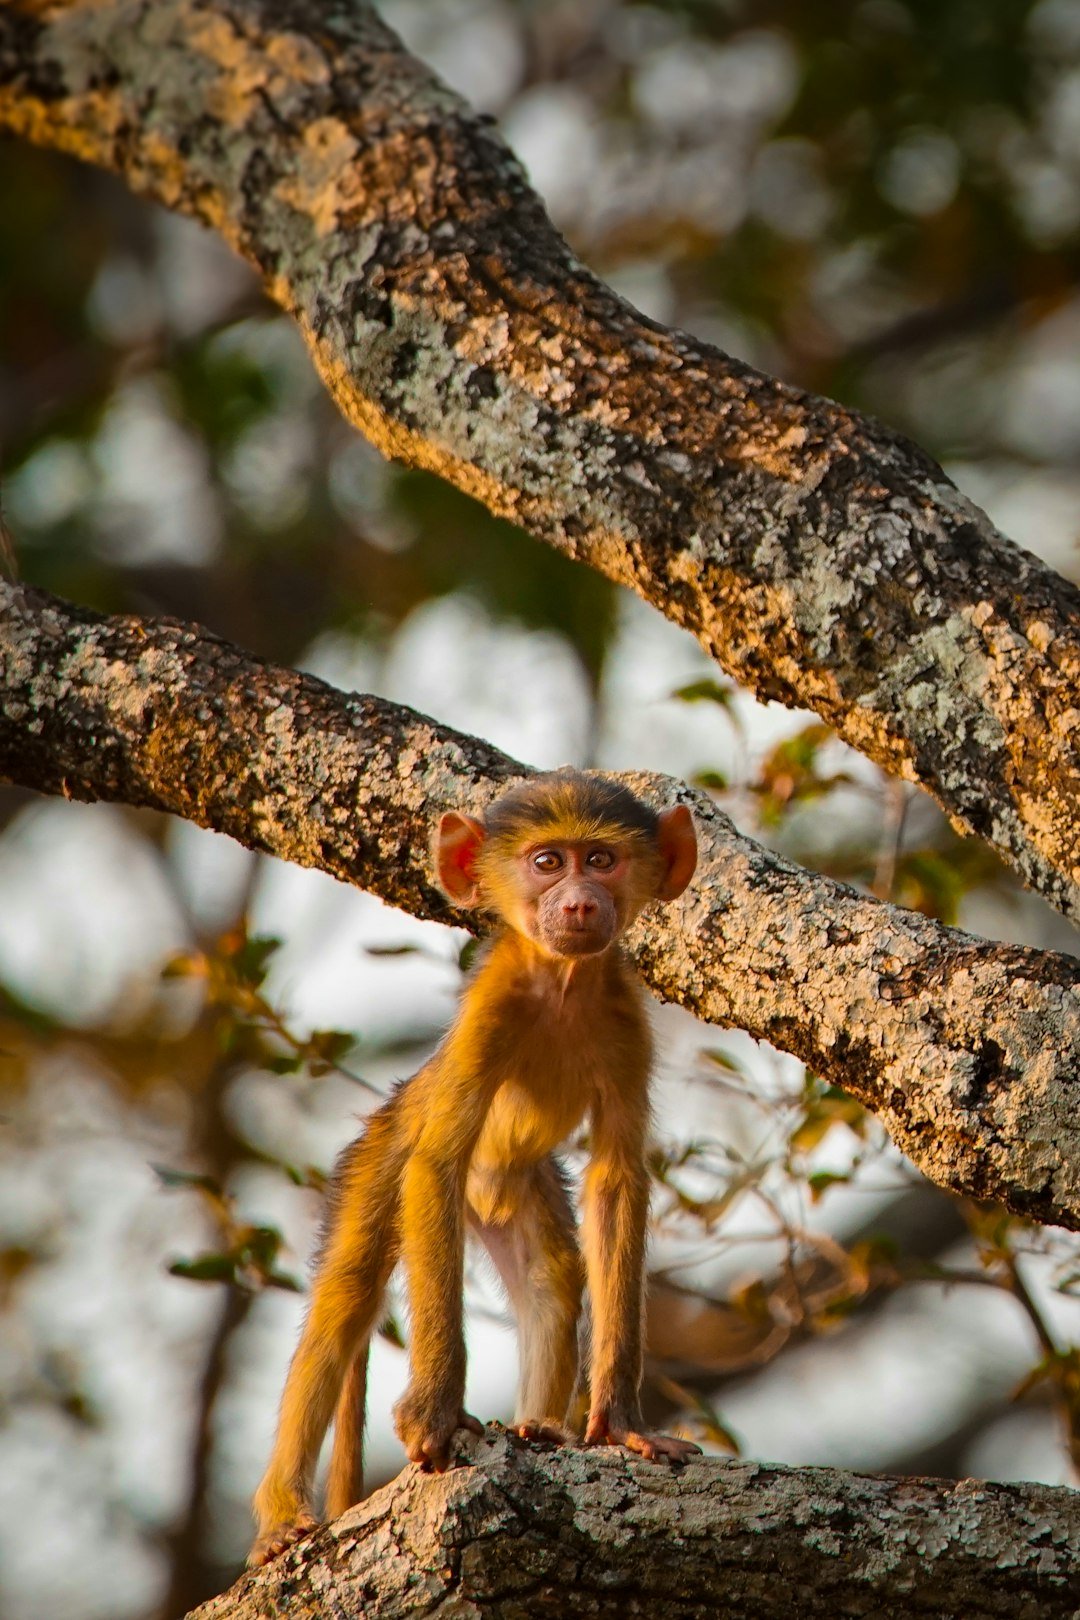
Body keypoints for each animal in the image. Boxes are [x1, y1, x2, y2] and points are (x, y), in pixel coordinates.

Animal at [248, 771, 701, 1567]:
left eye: (601, 860)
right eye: (548, 863)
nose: (579, 903)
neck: (563, 981)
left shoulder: (626, 1020)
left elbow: (616, 1182)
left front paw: (618, 1423)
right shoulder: (492, 1012)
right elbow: (439, 1159)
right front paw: (434, 1413)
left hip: (516, 1186)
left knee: (554, 1277)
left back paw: (537, 1426)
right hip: (381, 1154)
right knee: (347, 1297)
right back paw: (278, 1517)